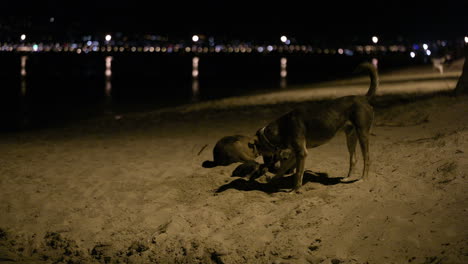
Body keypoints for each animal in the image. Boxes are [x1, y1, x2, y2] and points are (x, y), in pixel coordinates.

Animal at [254, 64, 378, 192]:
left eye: (259, 147)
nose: (262, 166)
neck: (283, 126)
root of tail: (364, 98)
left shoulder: (301, 153)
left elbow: (298, 174)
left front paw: (294, 190)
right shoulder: (295, 154)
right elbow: (281, 171)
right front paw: (270, 181)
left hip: (362, 134)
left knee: (367, 158)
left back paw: (363, 179)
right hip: (351, 136)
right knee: (353, 159)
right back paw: (348, 178)